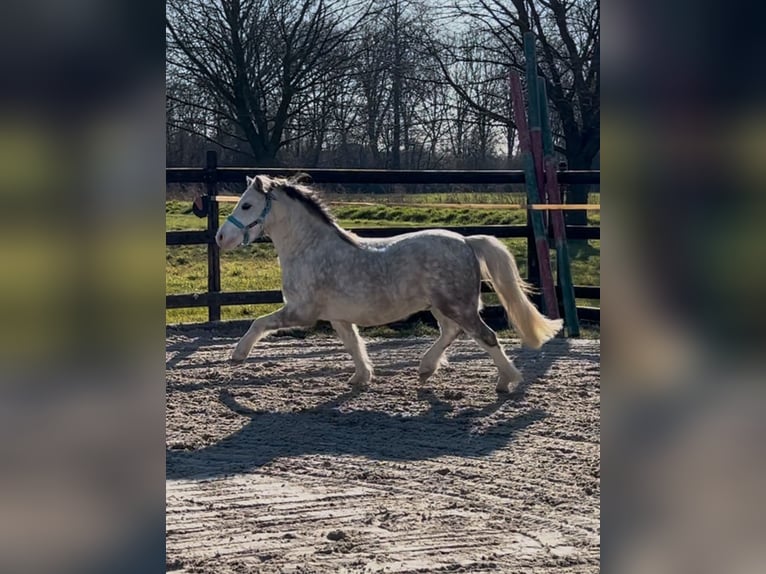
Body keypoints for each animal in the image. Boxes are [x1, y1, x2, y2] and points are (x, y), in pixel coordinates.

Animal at [216, 173, 564, 394]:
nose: (221, 237)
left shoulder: (302, 312)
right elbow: (354, 345)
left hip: (456, 305)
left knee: (486, 336)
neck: (310, 248)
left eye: (246, 205)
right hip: (441, 306)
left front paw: (238, 355)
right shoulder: (338, 317)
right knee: (452, 333)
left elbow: (259, 323)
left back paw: (507, 382)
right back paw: (425, 368)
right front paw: (361, 378)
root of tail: (466, 241)